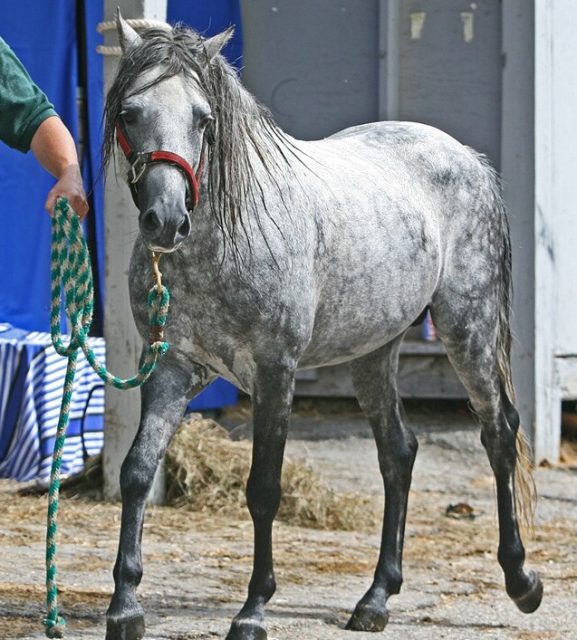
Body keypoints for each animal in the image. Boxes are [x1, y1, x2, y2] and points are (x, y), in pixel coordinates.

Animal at [102, 11, 540, 640]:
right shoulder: (171, 367)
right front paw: (124, 606)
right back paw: (376, 598)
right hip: (374, 352)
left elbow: (264, 489)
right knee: (399, 451)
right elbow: (137, 471)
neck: (224, 240)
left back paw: (521, 581)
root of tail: (467, 157)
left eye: (203, 118)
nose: (166, 220)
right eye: (130, 113)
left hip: (468, 329)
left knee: (499, 431)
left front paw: (253, 611)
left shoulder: (274, 373)